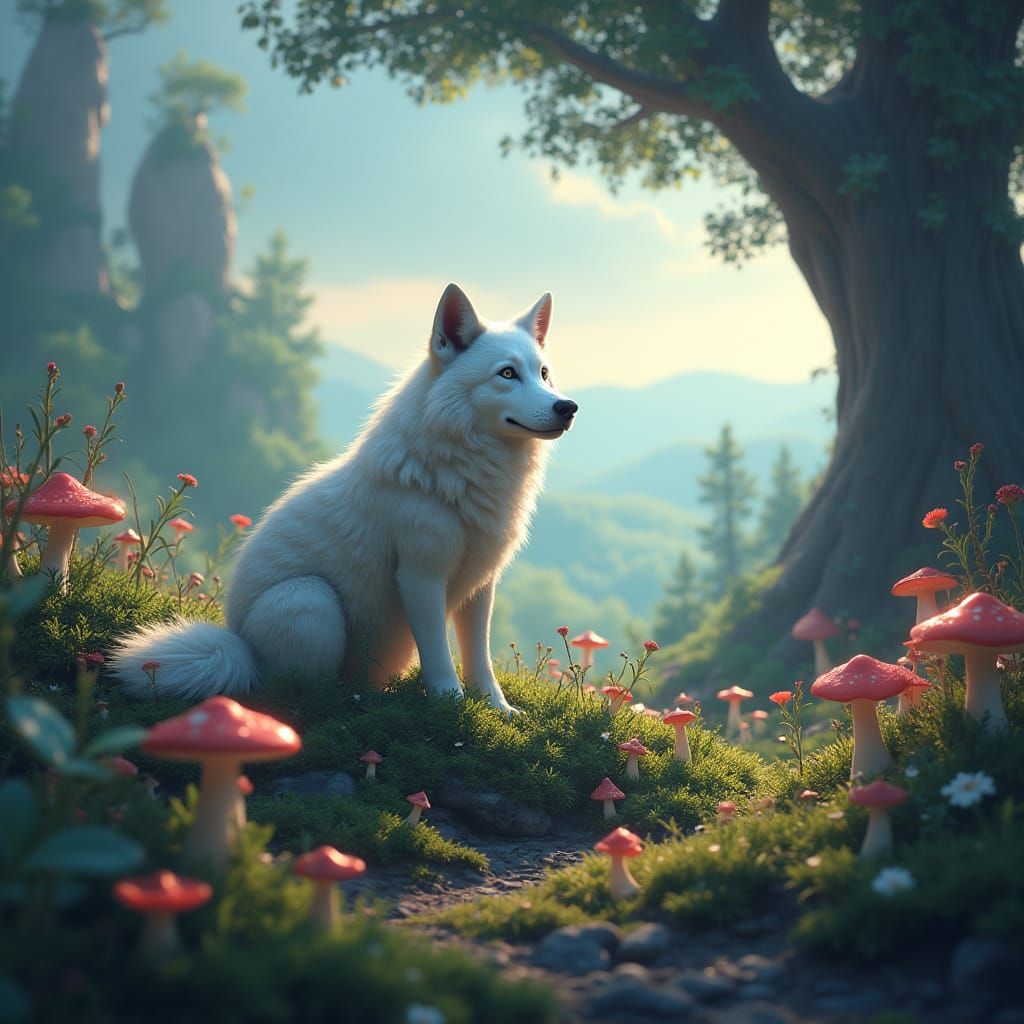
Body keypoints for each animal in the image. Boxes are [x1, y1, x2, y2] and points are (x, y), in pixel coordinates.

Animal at [111, 283, 577, 713]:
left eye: (543, 374)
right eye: (507, 374)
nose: (567, 407)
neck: (460, 473)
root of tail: (237, 645)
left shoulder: (480, 583)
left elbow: (478, 656)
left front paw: (496, 709)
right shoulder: (421, 576)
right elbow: (439, 656)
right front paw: (448, 706)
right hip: (310, 599)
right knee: (295, 689)